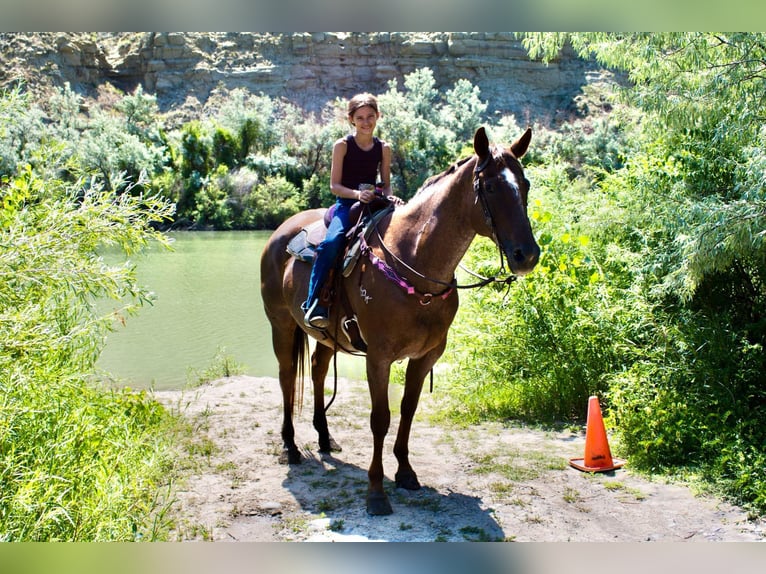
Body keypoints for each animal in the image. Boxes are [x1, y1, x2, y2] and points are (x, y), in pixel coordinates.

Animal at [260, 126, 540, 515]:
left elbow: (408, 410)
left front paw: (406, 472)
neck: (415, 262)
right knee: (288, 377)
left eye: (524, 183)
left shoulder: (426, 356)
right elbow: (381, 418)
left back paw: (325, 437)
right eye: (490, 187)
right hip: (281, 324)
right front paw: (376, 493)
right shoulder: (379, 357)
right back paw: (290, 446)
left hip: (327, 335)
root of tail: (280, 231)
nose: (526, 254)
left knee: (317, 370)